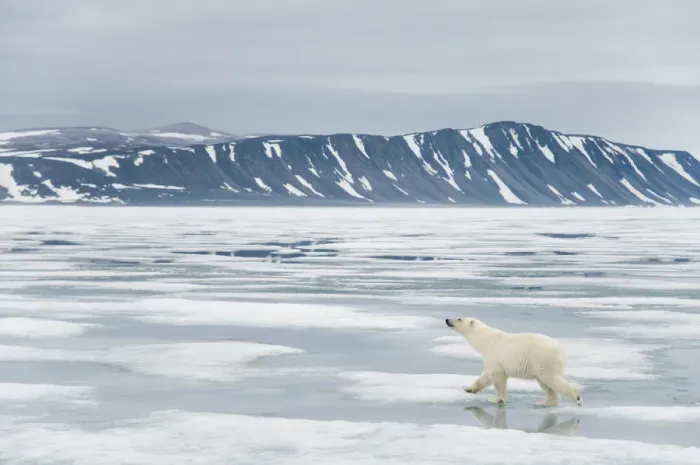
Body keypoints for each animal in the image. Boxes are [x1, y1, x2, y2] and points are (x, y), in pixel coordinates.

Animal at [445, 317, 581, 407]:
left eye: (459, 318)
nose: (447, 319)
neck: (486, 340)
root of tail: (560, 349)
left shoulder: (494, 354)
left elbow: (497, 378)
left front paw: (497, 399)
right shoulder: (492, 359)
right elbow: (485, 376)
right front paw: (468, 388)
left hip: (544, 361)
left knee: (551, 380)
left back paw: (576, 397)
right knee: (545, 384)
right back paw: (543, 403)